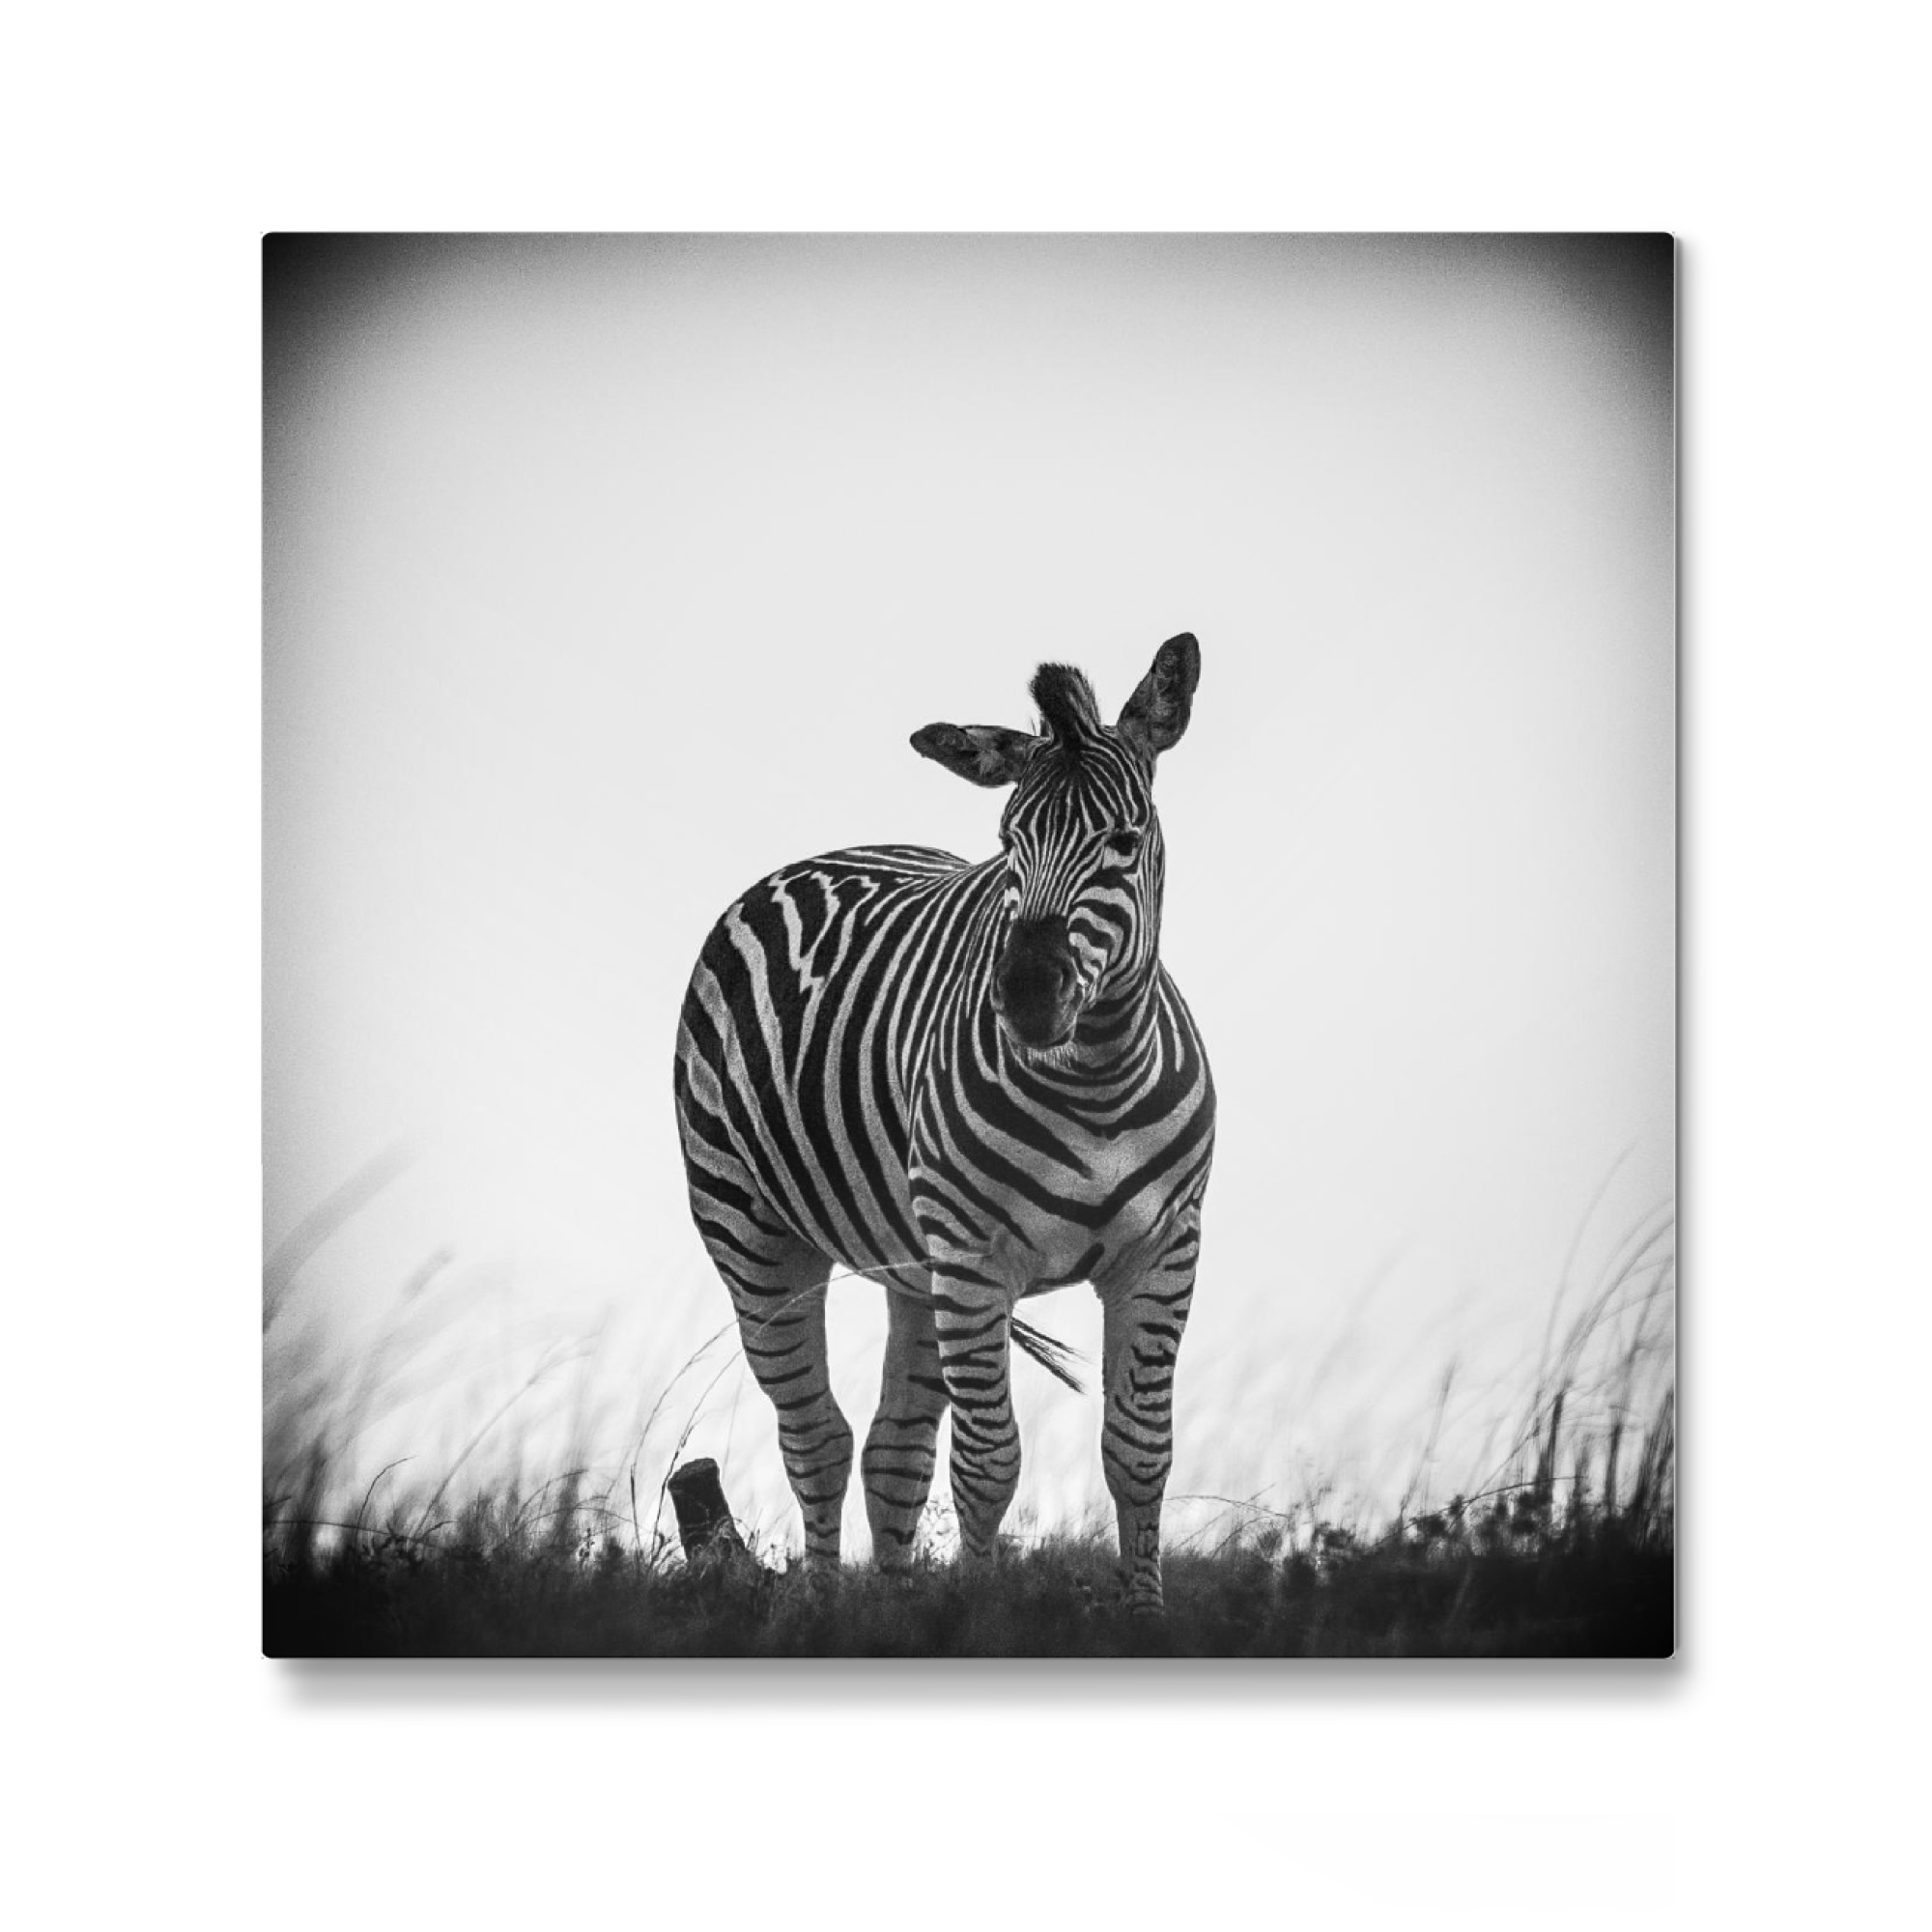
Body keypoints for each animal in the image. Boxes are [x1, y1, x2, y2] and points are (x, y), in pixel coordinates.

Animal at [673, 632, 1214, 1615]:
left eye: (1122, 841)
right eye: (1007, 844)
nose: (1027, 995)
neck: (1099, 1079)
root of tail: (828, 854)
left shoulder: (1164, 1254)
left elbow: (1139, 1453)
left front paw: (1144, 1617)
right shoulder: (973, 1259)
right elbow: (990, 1463)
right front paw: (982, 1617)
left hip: (913, 1264)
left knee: (892, 1450)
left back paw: (894, 1614)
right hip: (754, 1235)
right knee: (817, 1440)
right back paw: (822, 1611)